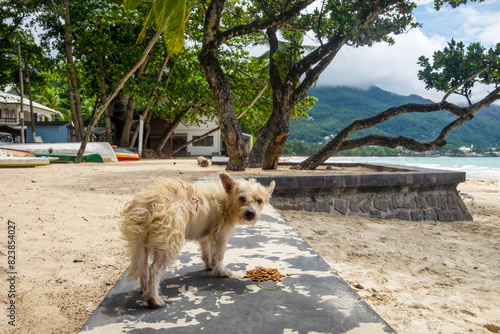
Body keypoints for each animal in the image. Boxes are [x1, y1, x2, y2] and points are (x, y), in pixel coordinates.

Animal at [121, 172, 278, 308]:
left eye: (259, 201)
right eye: (242, 198)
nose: (251, 213)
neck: (226, 199)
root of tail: (148, 204)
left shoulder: (206, 236)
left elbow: (207, 251)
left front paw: (209, 265)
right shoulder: (220, 236)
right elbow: (218, 256)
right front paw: (220, 271)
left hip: (143, 245)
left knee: (144, 267)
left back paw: (144, 288)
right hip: (168, 244)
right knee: (154, 269)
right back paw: (153, 298)